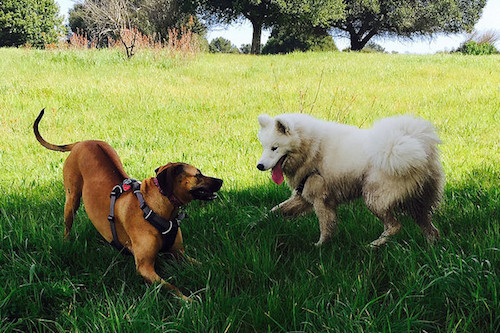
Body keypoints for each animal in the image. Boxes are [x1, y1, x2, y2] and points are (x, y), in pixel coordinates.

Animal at [33, 108, 223, 298]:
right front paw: (189, 300)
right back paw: (67, 243)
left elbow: (203, 263)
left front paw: (218, 267)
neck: (156, 208)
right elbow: (172, 288)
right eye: (198, 175)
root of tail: (82, 142)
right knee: (68, 226)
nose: (221, 181)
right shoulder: (145, 268)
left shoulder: (179, 253)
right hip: (71, 200)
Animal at [258, 114, 446, 246]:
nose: (259, 166)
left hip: (374, 197)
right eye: (264, 147)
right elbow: (274, 211)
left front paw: (320, 246)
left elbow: (325, 226)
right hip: (417, 204)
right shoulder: (302, 197)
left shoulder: (321, 199)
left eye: (275, 148)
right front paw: (256, 224)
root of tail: (418, 143)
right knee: (432, 230)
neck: (312, 147)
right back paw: (429, 250)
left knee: (394, 226)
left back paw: (374, 244)